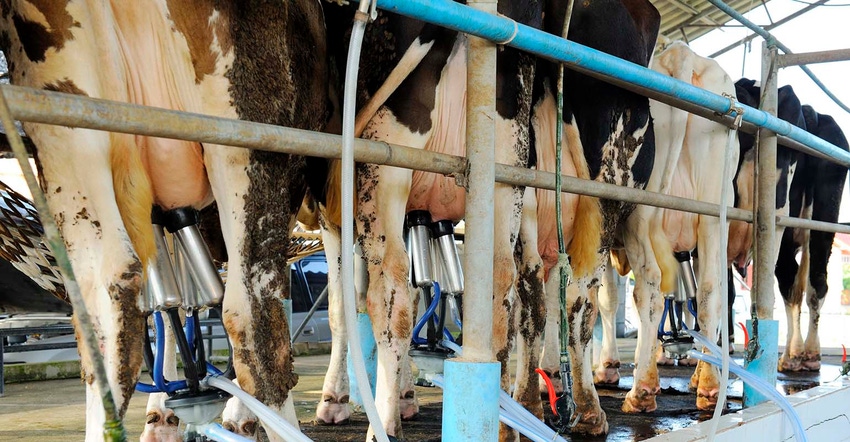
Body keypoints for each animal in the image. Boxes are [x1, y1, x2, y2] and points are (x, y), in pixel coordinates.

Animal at [588, 39, 740, 412]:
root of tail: (680, 53)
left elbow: (605, 298)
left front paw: (607, 368)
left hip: (640, 214)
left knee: (650, 289)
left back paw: (641, 389)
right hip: (713, 214)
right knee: (710, 290)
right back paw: (708, 385)